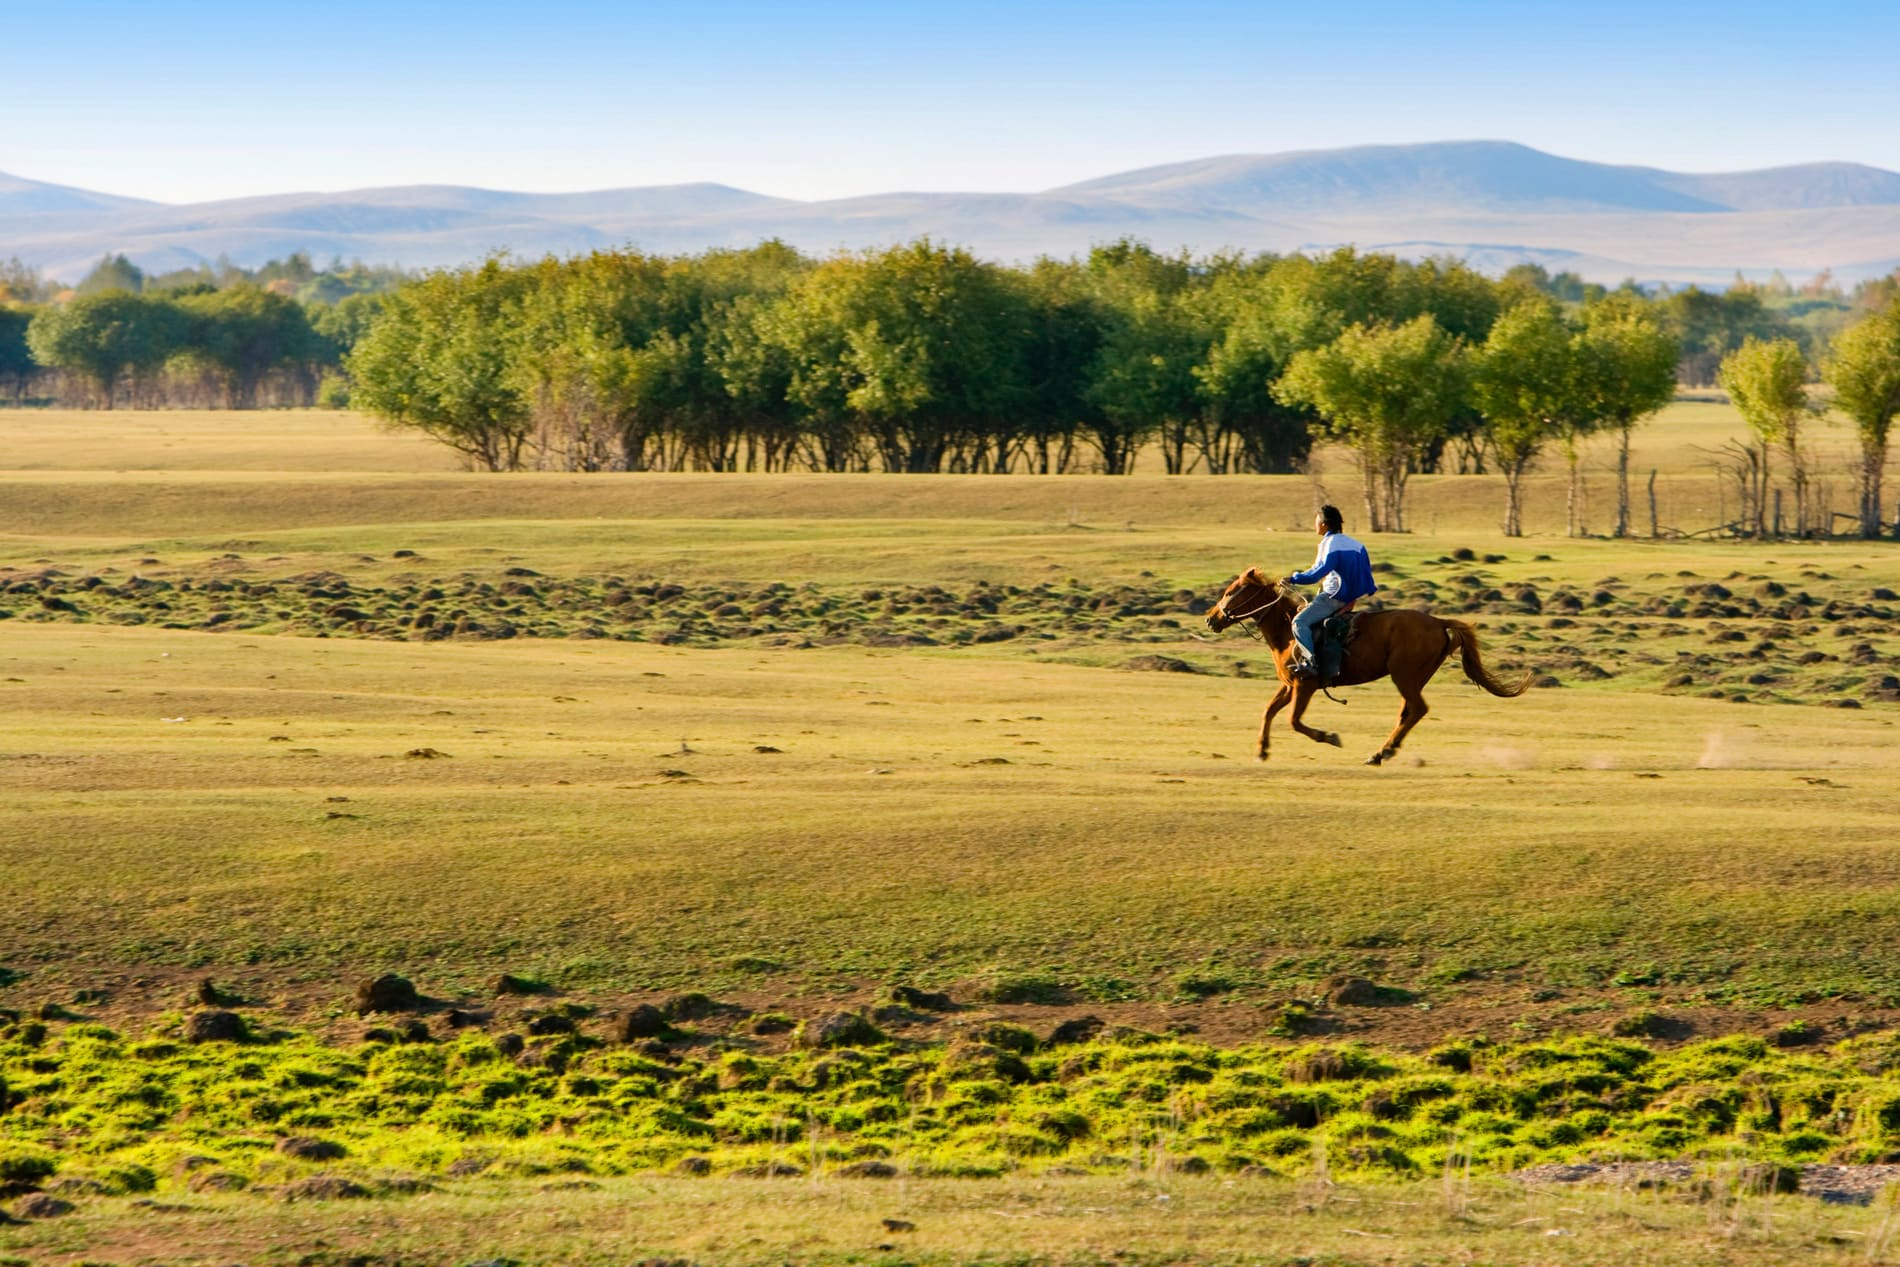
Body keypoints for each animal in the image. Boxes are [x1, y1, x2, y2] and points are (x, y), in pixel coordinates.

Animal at [1204, 568, 1529, 766]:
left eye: (1233, 591)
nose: (1210, 618)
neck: (1288, 631)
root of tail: (1437, 622)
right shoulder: (1289, 685)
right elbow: (1269, 711)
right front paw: (1262, 749)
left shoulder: (1305, 685)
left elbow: (1294, 721)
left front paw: (1329, 737)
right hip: (1414, 679)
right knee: (1408, 712)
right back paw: (1382, 752)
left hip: (1404, 676)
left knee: (1418, 709)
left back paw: (1383, 751)